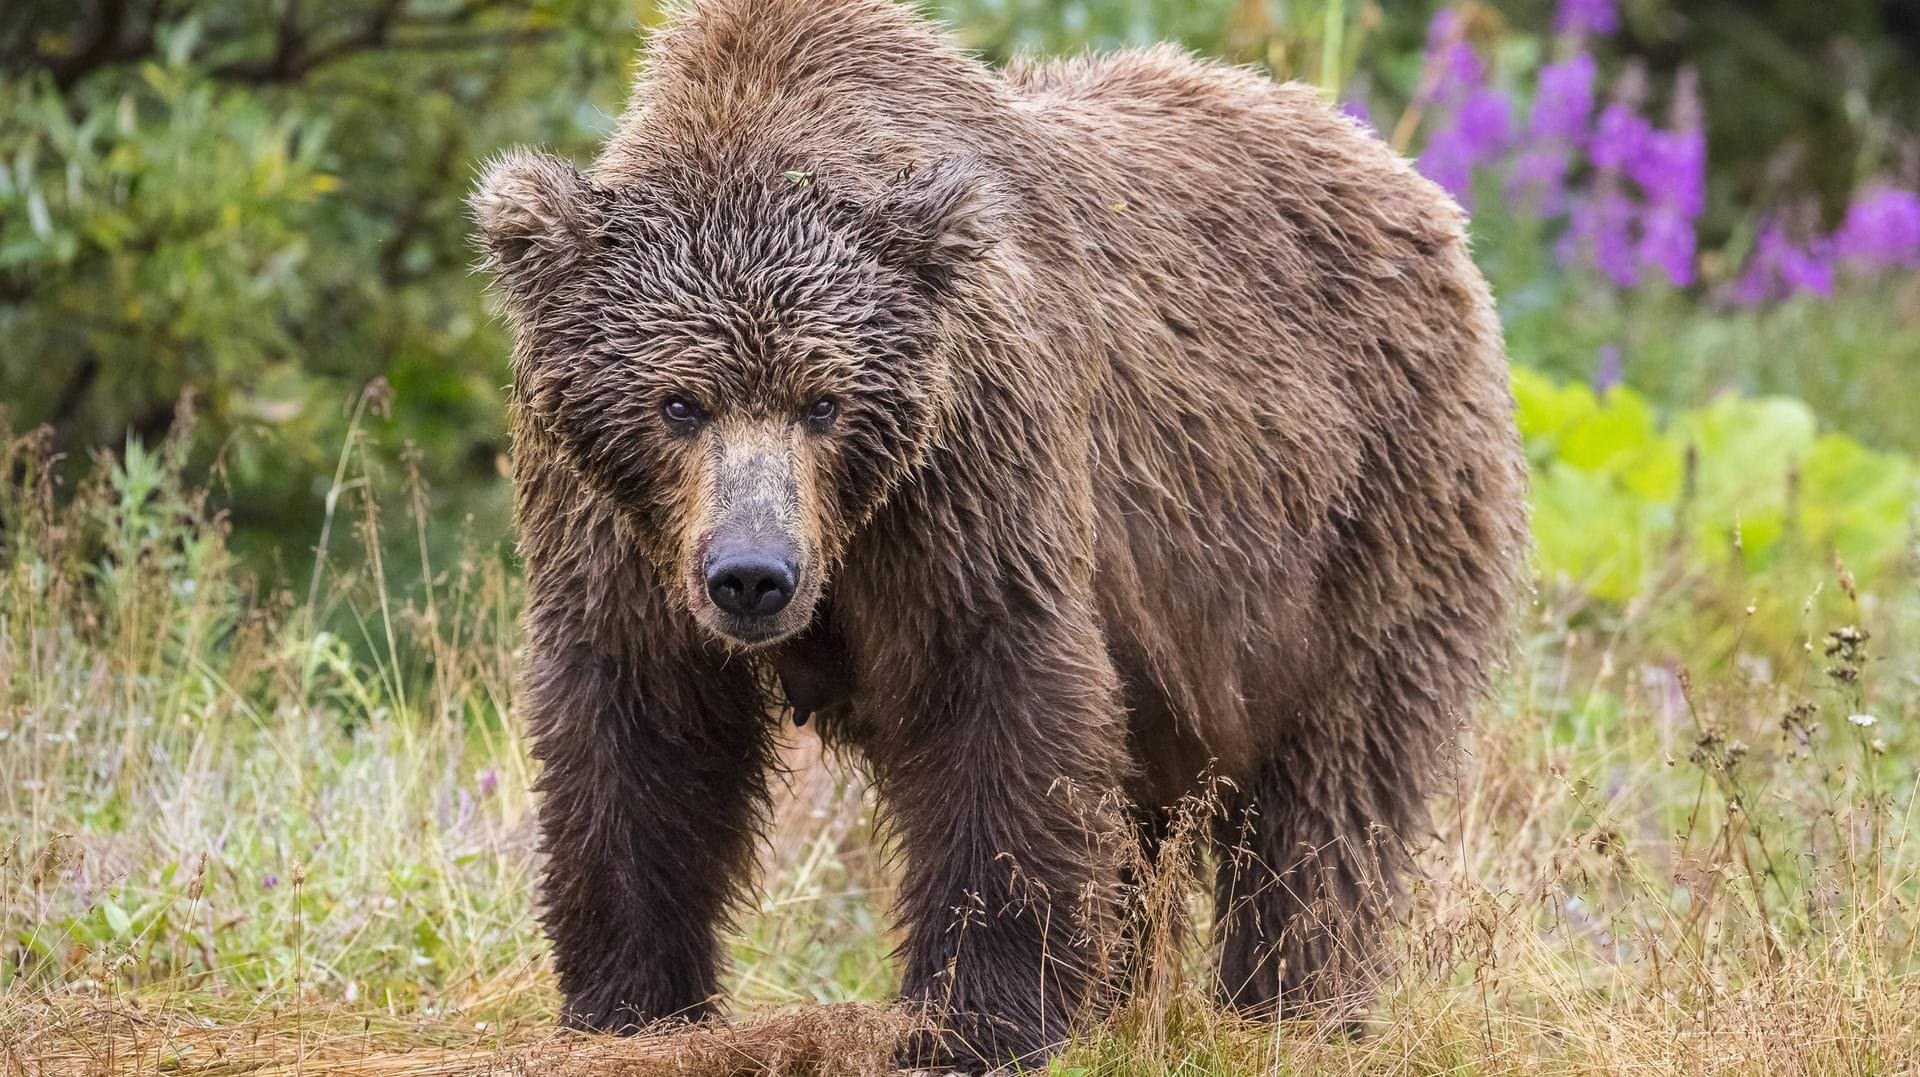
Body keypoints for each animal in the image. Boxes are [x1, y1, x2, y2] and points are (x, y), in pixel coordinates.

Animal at [476, 0, 1528, 1059]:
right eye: (679, 403)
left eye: (824, 402)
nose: (753, 573)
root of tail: (1412, 185)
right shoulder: (614, 524)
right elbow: (641, 728)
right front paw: (627, 1000)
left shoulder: (971, 465)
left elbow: (994, 692)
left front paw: (976, 1016)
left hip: (1364, 503)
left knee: (1335, 779)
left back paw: (1295, 1003)